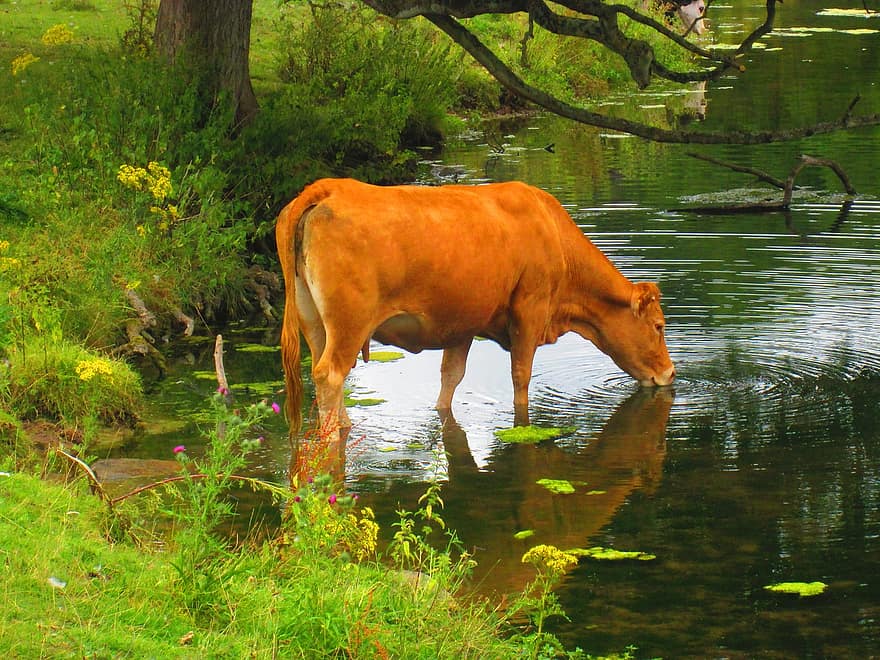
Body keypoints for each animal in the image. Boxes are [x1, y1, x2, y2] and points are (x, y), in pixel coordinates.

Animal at [276, 178, 672, 440]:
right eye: (659, 326)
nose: (670, 374)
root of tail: (330, 187)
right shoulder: (529, 310)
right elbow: (520, 377)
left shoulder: (462, 324)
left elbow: (451, 378)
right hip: (349, 323)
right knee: (330, 374)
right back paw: (332, 437)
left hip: (313, 321)